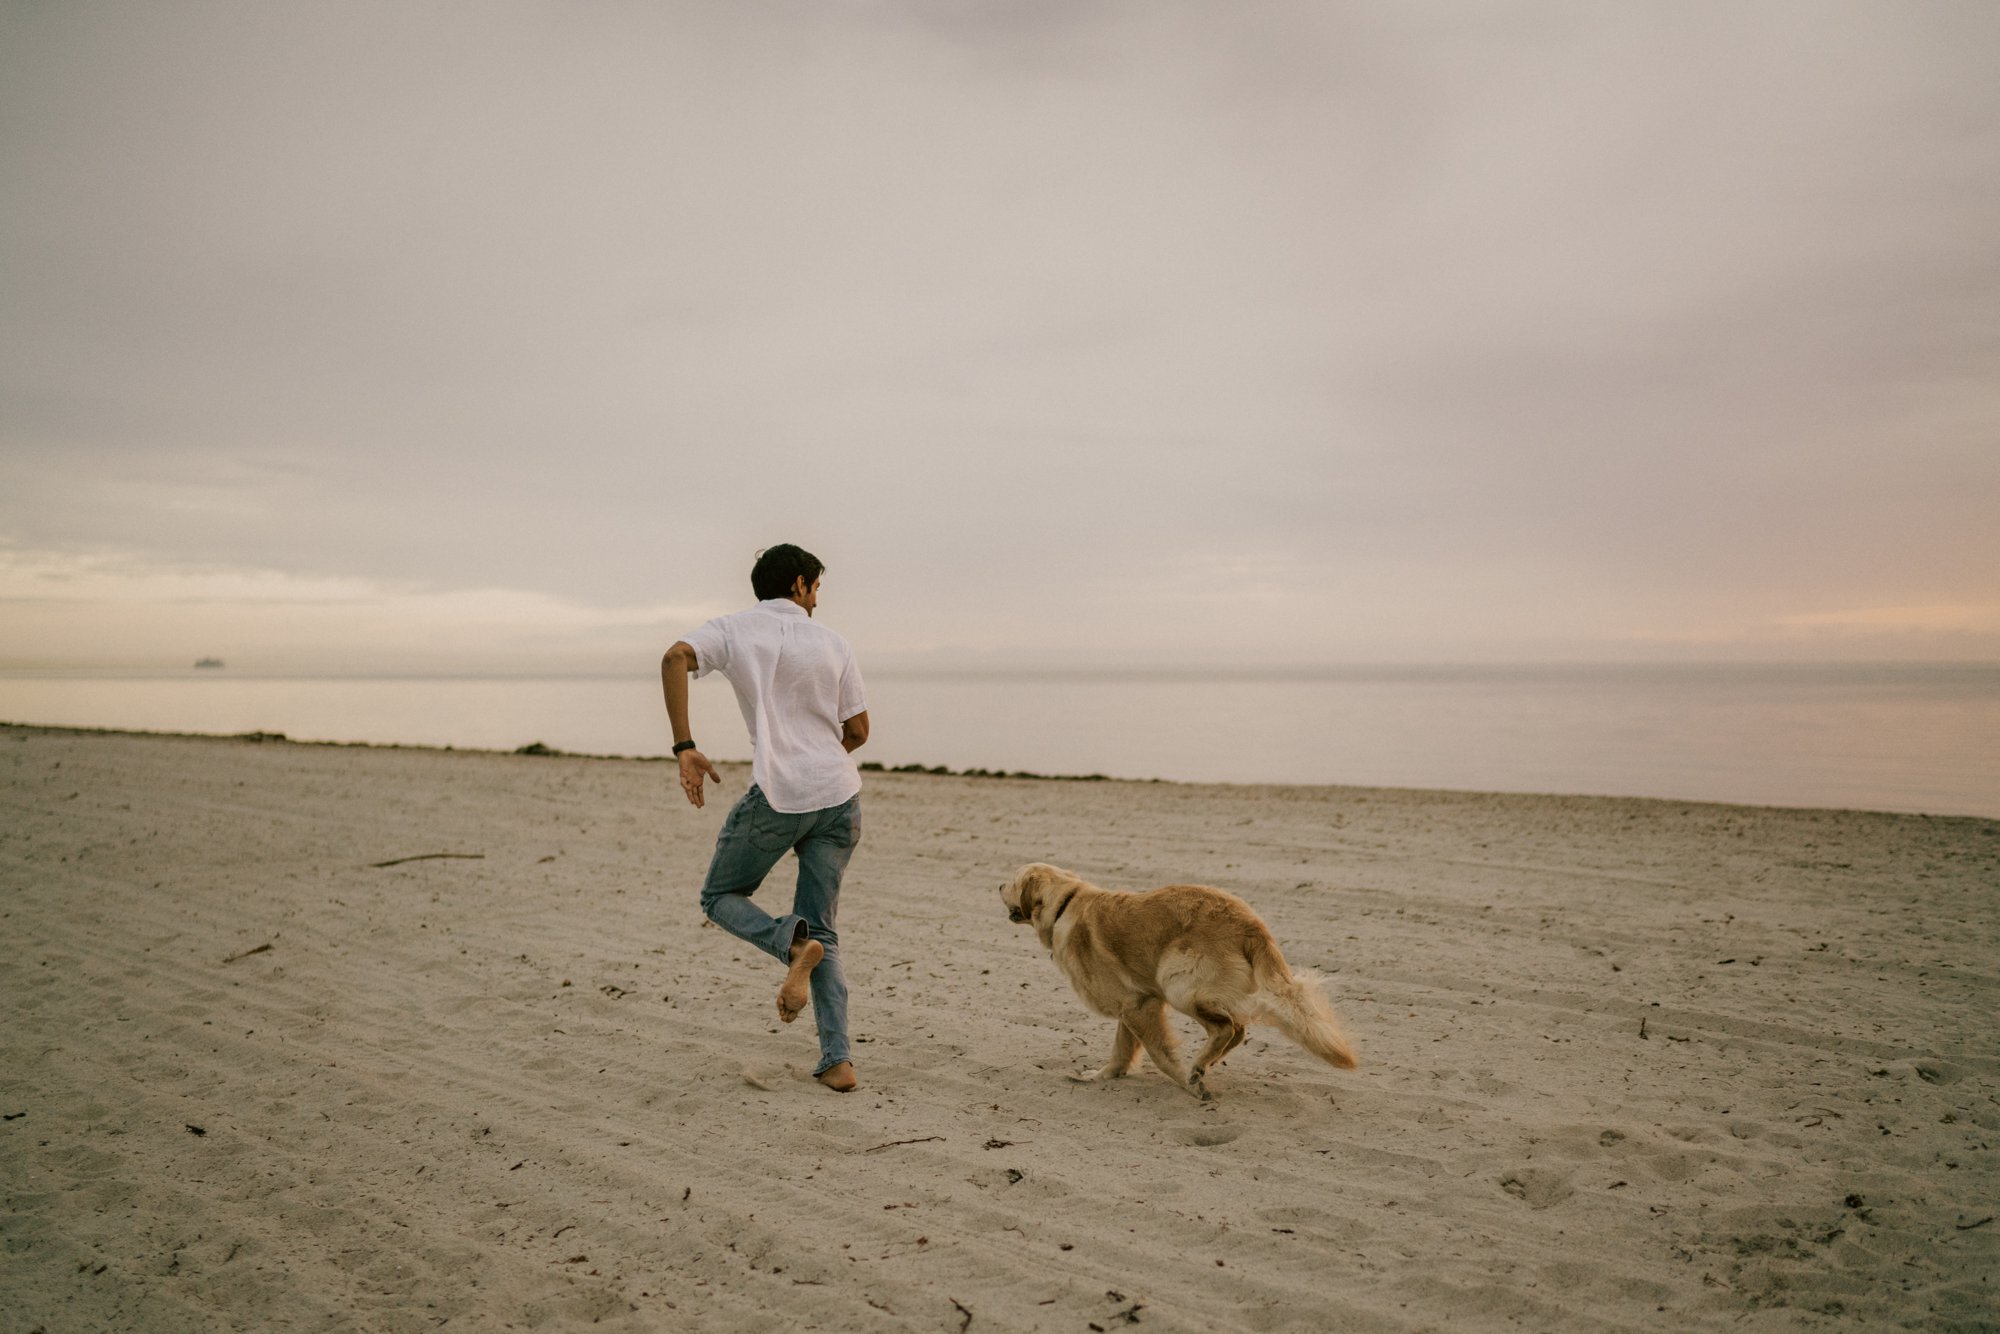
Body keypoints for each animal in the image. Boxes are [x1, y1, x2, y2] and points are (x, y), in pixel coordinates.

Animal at [1000, 872, 1360, 1104]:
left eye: (1014, 880)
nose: (999, 884)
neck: (1065, 903)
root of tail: (1252, 925)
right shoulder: (1134, 1003)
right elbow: (1121, 1049)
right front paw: (1104, 1076)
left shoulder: (1138, 1006)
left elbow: (1160, 1054)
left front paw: (1186, 1083)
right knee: (1237, 1029)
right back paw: (1206, 1063)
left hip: (1178, 983)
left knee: (1227, 1028)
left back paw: (1198, 1068)